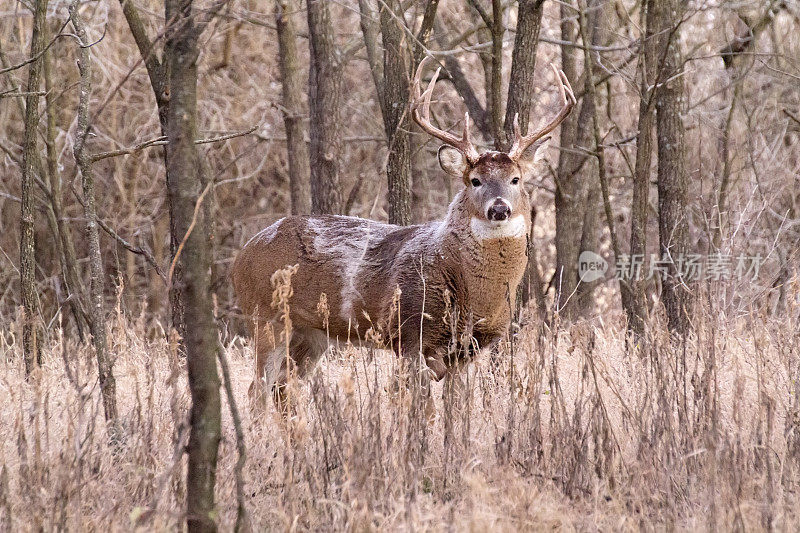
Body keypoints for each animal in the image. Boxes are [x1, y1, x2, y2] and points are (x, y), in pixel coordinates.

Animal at [233, 57, 576, 408]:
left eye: (516, 179)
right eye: (475, 180)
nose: (499, 209)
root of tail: (242, 255)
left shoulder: (468, 350)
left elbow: (456, 406)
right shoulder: (410, 331)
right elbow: (420, 407)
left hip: (311, 333)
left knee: (283, 390)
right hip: (265, 316)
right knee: (257, 389)